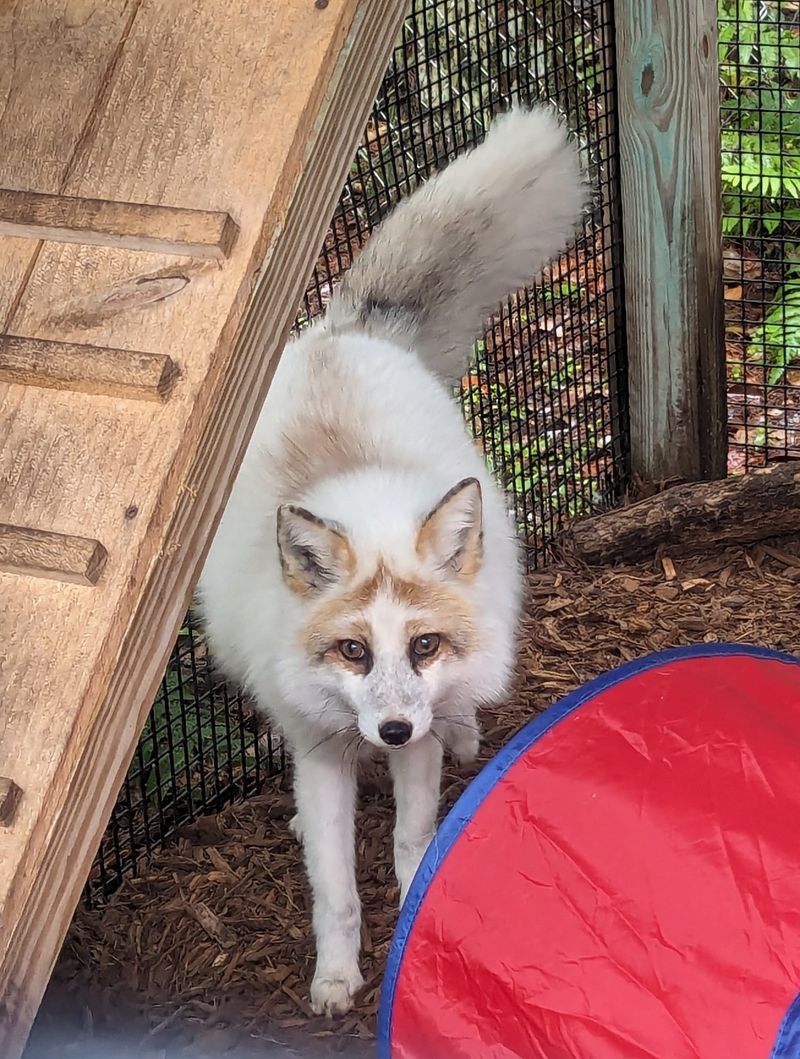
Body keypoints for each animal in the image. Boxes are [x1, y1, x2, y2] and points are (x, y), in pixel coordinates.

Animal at [197, 105, 586, 1016]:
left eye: (423, 645)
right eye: (351, 649)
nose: (396, 726)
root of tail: (344, 330)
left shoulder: (415, 744)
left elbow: (413, 838)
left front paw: (419, 924)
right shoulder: (323, 750)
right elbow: (334, 887)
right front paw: (337, 975)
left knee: (460, 716)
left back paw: (465, 730)